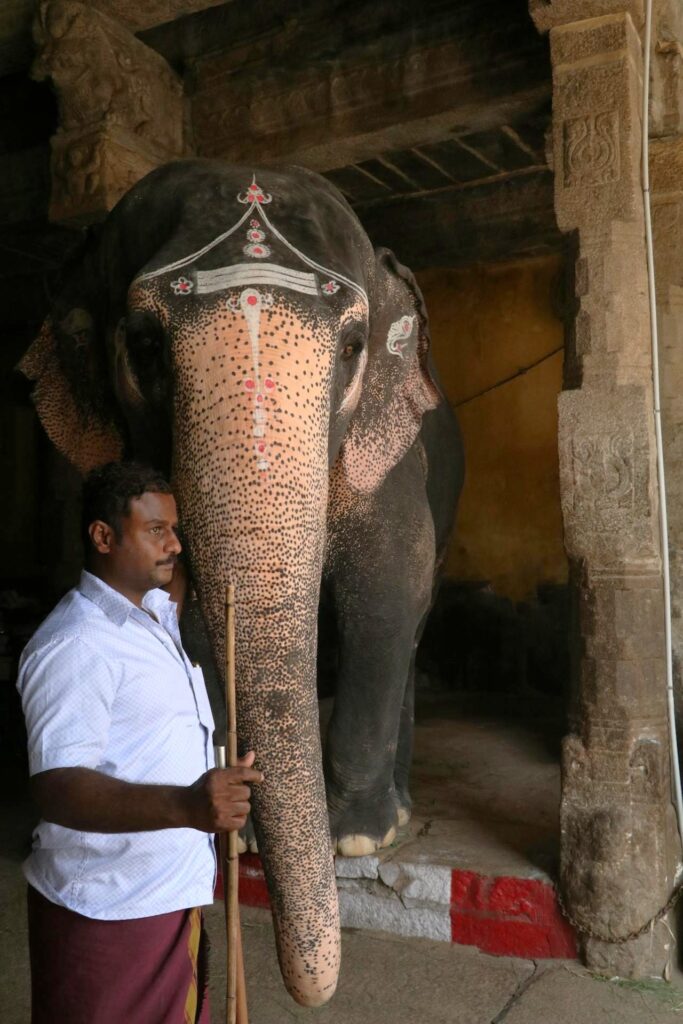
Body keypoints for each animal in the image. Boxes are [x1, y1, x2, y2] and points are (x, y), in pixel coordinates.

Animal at [18, 160, 463, 1006]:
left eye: (353, 346)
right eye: (145, 346)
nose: (310, 988)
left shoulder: (388, 461)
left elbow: (389, 585)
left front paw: (354, 835)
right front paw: (239, 819)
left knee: (417, 621)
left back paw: (388, 816)